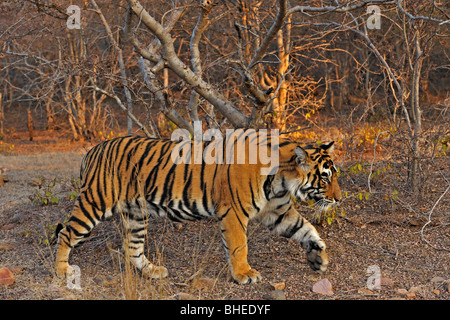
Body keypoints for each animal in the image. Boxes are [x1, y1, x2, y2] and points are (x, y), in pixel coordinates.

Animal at [56, 130, 342, 284]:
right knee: (66, 234)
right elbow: (239, 246)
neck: (281, 181)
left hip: (136, 213)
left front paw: (319, 259)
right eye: (325, 177)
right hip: (95, 202)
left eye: (334, 175)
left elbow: (307, 230)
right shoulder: (234, 213)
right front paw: (244, 274)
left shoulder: (278, 212)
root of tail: (93, 150)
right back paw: (62, 271)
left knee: (132, 247)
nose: (339, 199)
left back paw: (153, 271)